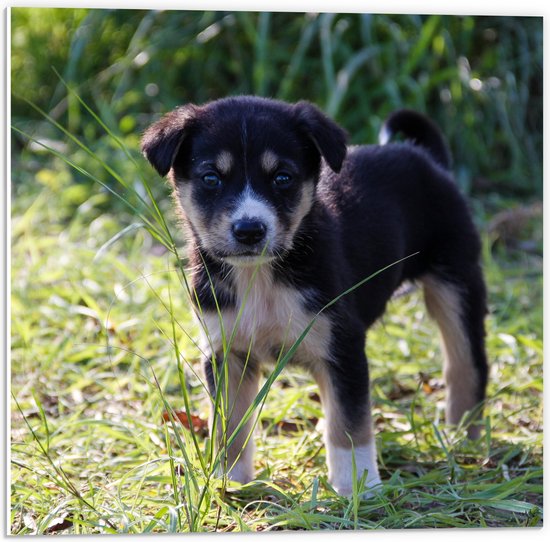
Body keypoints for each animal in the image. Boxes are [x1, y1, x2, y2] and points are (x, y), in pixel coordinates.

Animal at [140, 96, 490, 498]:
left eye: (283, 178)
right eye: (211, 178)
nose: (249, 230)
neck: (262, 277)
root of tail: (426, 159)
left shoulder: (342, 347)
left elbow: (349, 425)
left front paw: (358, 486)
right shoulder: (226, 352)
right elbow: (231, 426)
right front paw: (232, 482)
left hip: (457, 280)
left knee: (466, 363)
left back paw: (463, 438)